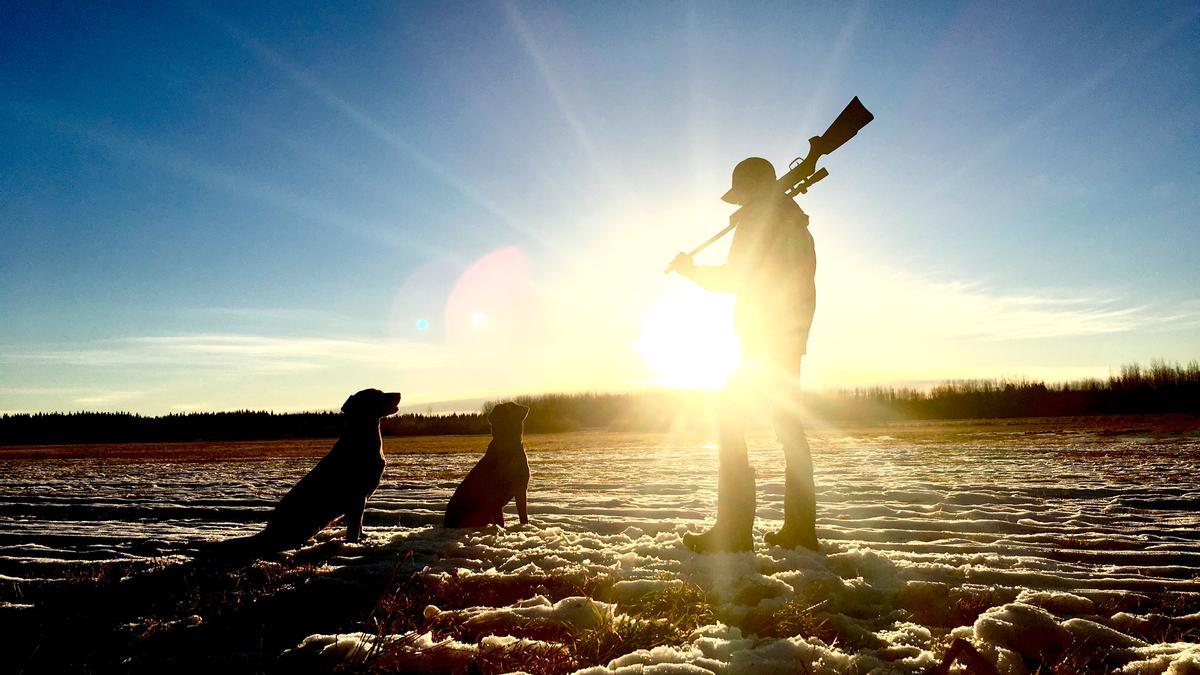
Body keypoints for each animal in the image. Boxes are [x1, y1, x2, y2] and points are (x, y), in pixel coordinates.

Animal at [246, 386, 400, 550]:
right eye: (377, 394)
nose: (399, 393)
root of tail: (267, 531)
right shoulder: (357, 497)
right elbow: (354, 527)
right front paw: (353, 544)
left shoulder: (360, 500)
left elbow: (359, 524)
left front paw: (363, 538)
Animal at [446, 398, 530, 526]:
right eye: (511, 406)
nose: (526, 407)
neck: (508, 445)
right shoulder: (494, 497)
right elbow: (500, 520)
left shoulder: (520, 489)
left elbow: (523, 514)